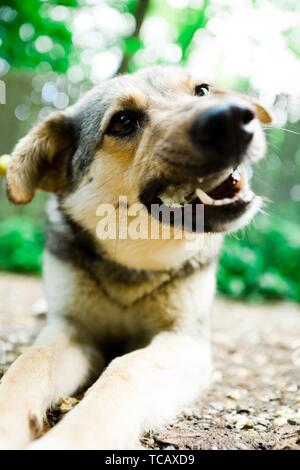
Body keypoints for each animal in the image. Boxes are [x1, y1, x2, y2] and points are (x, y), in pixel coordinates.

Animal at [0, 66, 272, 448]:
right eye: (123, 121)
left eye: (202, 91)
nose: (234, 116)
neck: (136, 262)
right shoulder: (73, 329)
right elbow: (29, 362)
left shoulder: (183, 338)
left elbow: (125, 369)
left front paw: (72, 438)